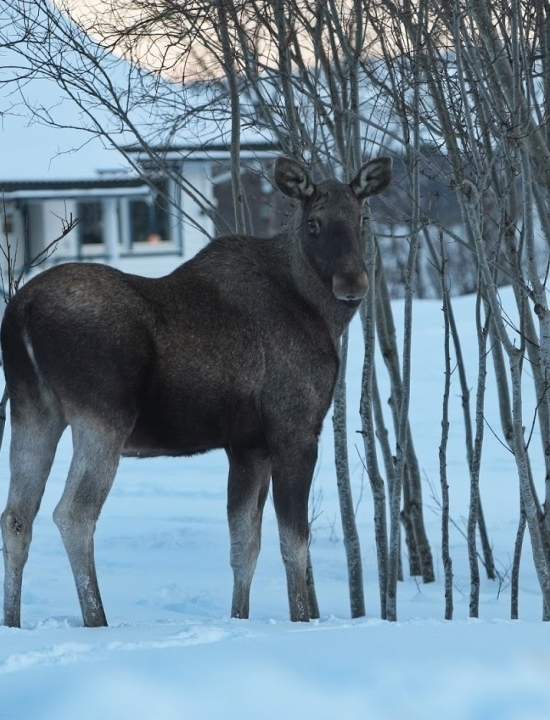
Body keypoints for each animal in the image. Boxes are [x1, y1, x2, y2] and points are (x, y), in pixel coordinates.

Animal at [0, 156, 392, 624]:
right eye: (313, 223)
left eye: (362, 217)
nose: (352, 283)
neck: (320, 314)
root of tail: (20, 314)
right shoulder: (294, 429)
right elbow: (294, 543)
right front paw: (301, 619)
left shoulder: (247, 445)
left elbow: (244, 546)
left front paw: (239, 618)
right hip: (102, 416)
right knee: (74, 513)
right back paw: (98, 620)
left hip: (33, 410)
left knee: (17, 516)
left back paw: (13, 620)